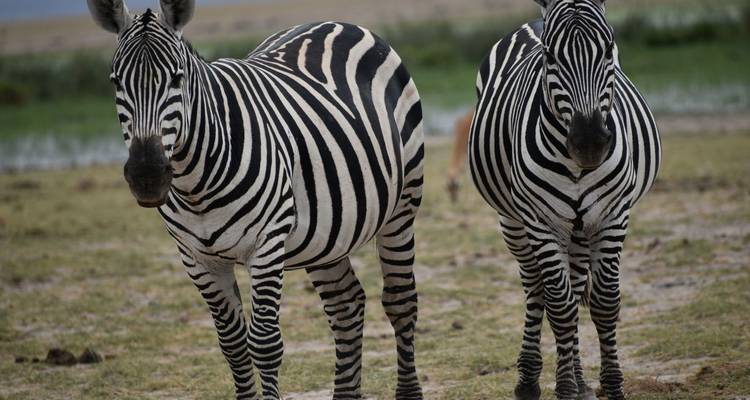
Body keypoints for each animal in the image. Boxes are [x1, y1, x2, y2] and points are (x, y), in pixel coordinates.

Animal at [87, 1, 424, 399]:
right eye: (115, 82)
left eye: (176, 78)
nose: (147, 176)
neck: (195, 184)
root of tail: (334, 21)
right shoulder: (196, 258)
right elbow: (232, 345)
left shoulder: (266, 243)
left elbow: (264, 344)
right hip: (326, 235)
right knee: (345, 306)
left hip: (402, 207)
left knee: (400, 301)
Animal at [468, 1, 661, 399]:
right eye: (550, 56)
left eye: (608, 49)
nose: (589, 143)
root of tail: (532, 21)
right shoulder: (541, 221)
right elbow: (559, 306)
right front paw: (565, 387)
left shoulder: (612, 216)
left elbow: (604, 302)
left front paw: (610, 386)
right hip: (514, 222)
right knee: (537, 288)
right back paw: (531, 380)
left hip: (580, 228)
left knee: (574, 284)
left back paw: (579, 377)